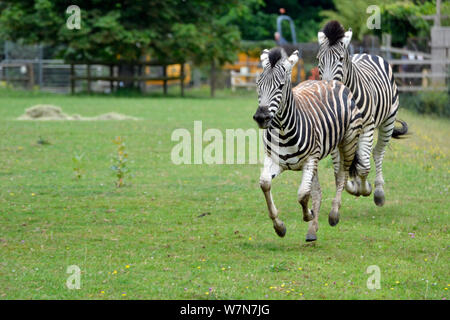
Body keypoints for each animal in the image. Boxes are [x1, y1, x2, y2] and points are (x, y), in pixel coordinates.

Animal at [253, 47, 362, 241]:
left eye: (280, 86)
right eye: (259, 84)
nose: (261, 117)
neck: (283, 131)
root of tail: (329, 81)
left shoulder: (310, 160)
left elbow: (303, 194)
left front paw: (308, 214)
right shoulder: (274, 159)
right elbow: (265, 184)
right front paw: (279, 226)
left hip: (347, 143)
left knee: (341, 176)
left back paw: (334, 214)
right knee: (318, 191)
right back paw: (312, 231)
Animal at [316, 21, 408, 208]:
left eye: (341, 59)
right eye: (318, 59)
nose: (326, 89)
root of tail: (366, 54)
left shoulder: (367, 127)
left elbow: (364, 166)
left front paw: (365, 189)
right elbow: (340, 168)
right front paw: (352, 186)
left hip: (388, 121)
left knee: (377, 153)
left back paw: (378, 191)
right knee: (356, 157)